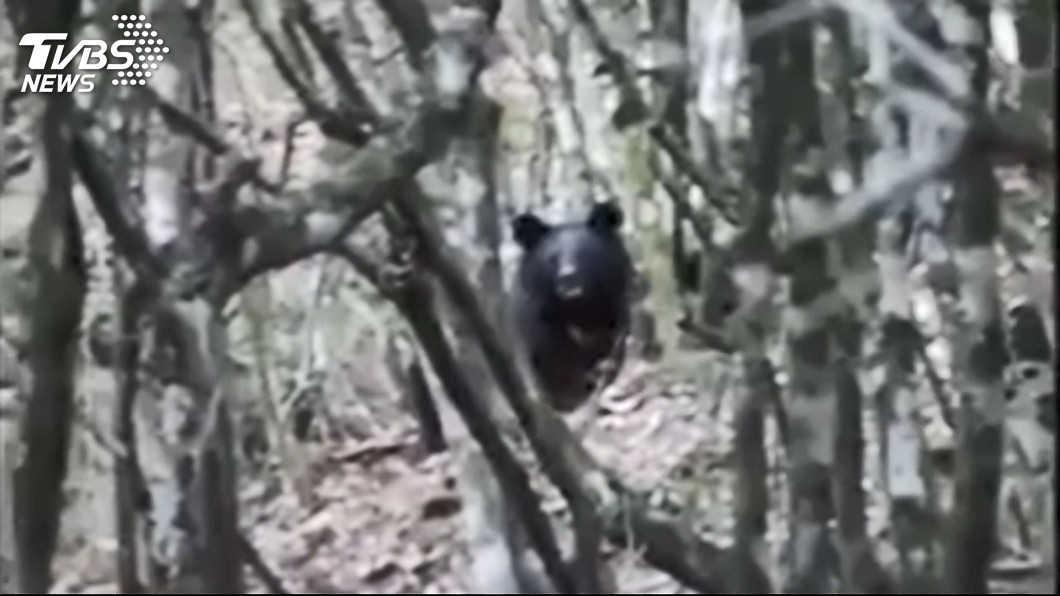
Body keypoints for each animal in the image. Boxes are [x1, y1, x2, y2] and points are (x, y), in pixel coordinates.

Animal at [508, 202, 634, 412]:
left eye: (585, 254)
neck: (577, 309)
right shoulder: (539, 328)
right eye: (552, 258)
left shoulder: (616, 307)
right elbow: (556, 365)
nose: (568, 279)